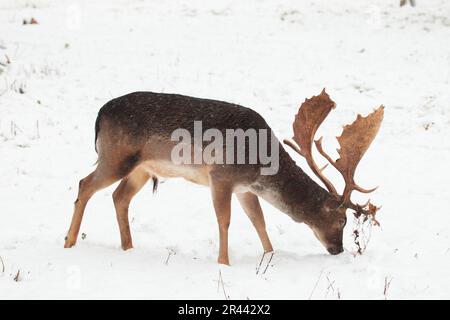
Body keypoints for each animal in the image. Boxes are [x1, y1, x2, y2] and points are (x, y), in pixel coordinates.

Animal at [64, 89, 384, 264]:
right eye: (342, 220)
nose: (338, 249)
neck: (260, 163)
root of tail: (99, 115)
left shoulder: (245, 188)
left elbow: (258, 220)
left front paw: (270, 255)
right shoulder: (221, 175)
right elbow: (225, 220)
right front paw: (224, 262)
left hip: (142, 168)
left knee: (119, 196)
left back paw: (128, 247)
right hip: (116, 157)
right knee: (84, 184)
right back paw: (69, 242)